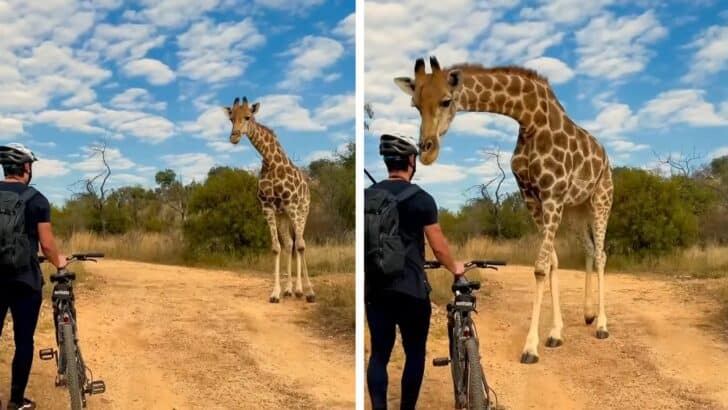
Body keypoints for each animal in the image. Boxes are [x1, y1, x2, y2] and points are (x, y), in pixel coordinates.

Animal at [224, 96, 315, 304]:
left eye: (248, 117)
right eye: (231, 118)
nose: (234, 137)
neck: (271, 163)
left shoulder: (291, 205)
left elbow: (300, 246)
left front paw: (307, 292)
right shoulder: (268, 207)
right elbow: (276, 248)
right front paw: (276, 293)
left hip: (302, 211)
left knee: (301, 243)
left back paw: (303, 290)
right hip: (284, 216)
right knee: (289, 244)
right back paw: (290, 290)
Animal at [394, 57, 613, 364]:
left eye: (446, 101)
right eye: (415, 104)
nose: (427, 151)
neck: (530, 117)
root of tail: (606, 157)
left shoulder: (552, 194)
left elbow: (540, 267)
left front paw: (530, 347)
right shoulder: (533, 198)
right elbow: (553, 262)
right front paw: (556, 333)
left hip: (601, 198)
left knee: (602, 253)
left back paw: (602, 325)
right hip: (576, 210)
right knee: (591, 250)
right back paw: (589, 314)